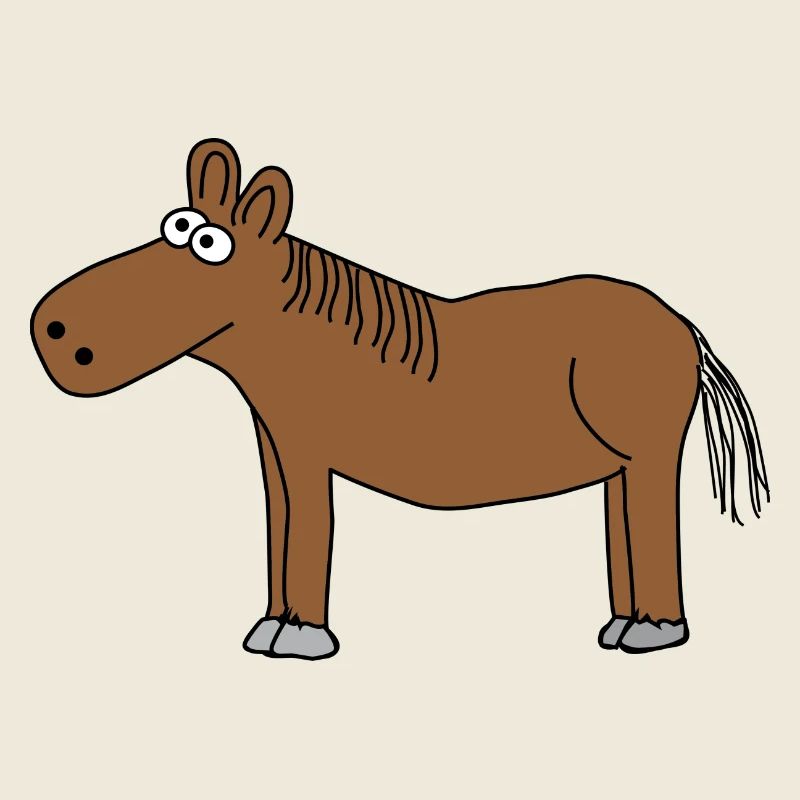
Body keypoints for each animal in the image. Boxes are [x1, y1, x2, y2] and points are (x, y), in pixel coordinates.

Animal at [31, 138, 769, 659]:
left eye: (209, 244)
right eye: (173, 226)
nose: (52, 330)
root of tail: (681, 324)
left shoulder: (308, 451)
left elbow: (310, 535)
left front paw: (301, 639)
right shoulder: (275, 454)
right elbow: (280, 532)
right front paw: (270, 625)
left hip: (650, 455)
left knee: (654, 526)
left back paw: (655, 632)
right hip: (618, 467)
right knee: (624, 526)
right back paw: (623, 625)